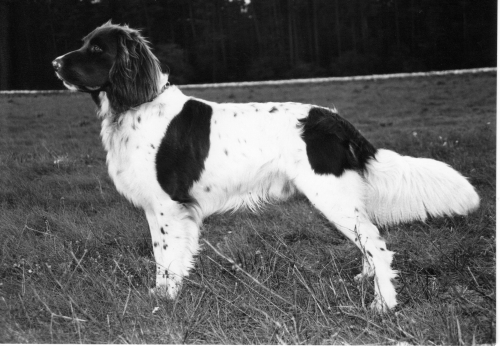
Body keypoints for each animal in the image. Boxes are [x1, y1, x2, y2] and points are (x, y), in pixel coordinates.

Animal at [52, 21, 478, 312]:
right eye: (84, 44)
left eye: (97, 48)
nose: (55, 62)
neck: (137, 104)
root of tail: (334, 119)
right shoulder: (170, 209)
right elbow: (171, 257)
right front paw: (166, 294)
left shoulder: (165, 205)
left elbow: (165, 258)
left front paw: (165, 299)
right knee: (369, 240)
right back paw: (366, 280)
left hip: (331, 195)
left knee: (378, 245)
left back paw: (383, 305)